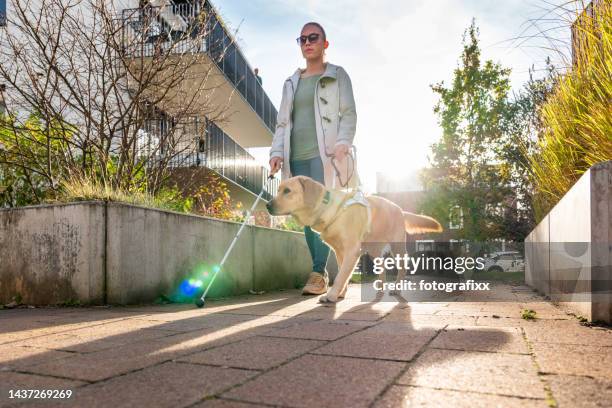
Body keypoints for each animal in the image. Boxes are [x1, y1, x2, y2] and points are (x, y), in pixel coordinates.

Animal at [266, 176, 442, 302]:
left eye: (287, 191)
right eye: (279, 190)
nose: (267, 205)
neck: (328, 208)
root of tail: (401, 210)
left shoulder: (352, 251)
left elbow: (341, 276)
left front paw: (331, 295)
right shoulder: (339, 251)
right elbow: (343, 274)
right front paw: (339, 294)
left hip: (396, 248)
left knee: (402, 268)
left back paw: (396, 288)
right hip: (373, 250)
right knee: (382, 268)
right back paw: (380, 289)